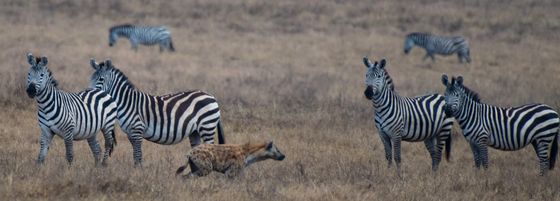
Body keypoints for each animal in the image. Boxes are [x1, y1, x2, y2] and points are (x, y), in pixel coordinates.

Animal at [89, 57, 225, 165]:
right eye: (91, 78)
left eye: (101, 79)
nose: (89, 92)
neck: (127, 102)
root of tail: (211, 96)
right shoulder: (130, 133)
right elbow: (135, 155)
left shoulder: (137, 130)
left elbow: (138, 155)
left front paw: (139, 172)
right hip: (195, 131)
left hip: (207, 126)